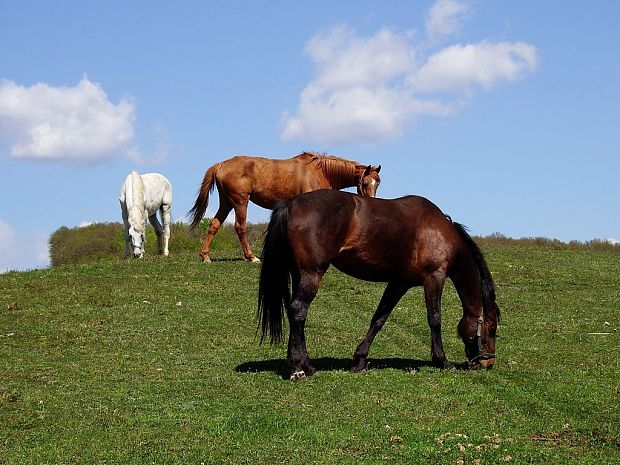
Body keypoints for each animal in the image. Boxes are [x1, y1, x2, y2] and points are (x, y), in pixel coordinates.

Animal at [186, 151, 380, 260]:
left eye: (377, 183)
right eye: (364, 183)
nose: (372, 201)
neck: (320, 172)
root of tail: (221, 165)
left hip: (226, 202)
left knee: (214, 225)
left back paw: (205, 256)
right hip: (240, 202)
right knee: (240, 227)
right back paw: (251, 257)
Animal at [256, 188, 498, 380]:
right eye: (492, 328)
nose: (487, 362)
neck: (441, 232)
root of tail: (291, 203)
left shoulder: (399, 283)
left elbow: (379, 319)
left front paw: (360, 360)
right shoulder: (434, 278)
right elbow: (434, 320)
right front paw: (442, 361)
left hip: (299, 275)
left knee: (294, 313)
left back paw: (303, 364)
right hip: (311, 274)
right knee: (299, 310)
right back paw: (298, 369)